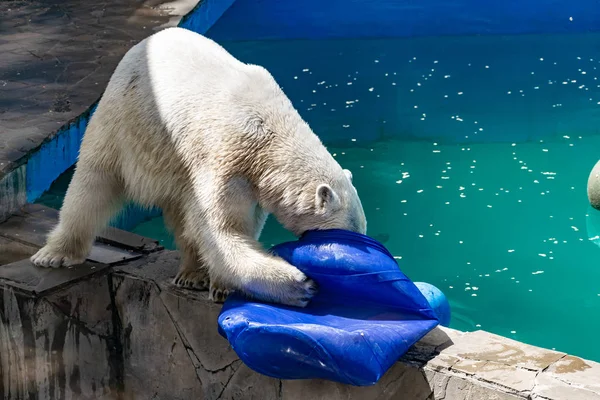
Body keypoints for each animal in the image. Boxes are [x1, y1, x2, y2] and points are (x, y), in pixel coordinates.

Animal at [30, 26, 368, 306]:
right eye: (349, 231)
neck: (270, 131)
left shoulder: (251, 176)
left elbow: (234, 224)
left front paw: (219, 284)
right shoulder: (226, 154)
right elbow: (220, 228)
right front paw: (297, 283)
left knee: (181, 214)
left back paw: (191, 274)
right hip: (125, 120)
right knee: (93, 184)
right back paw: (54, 254)